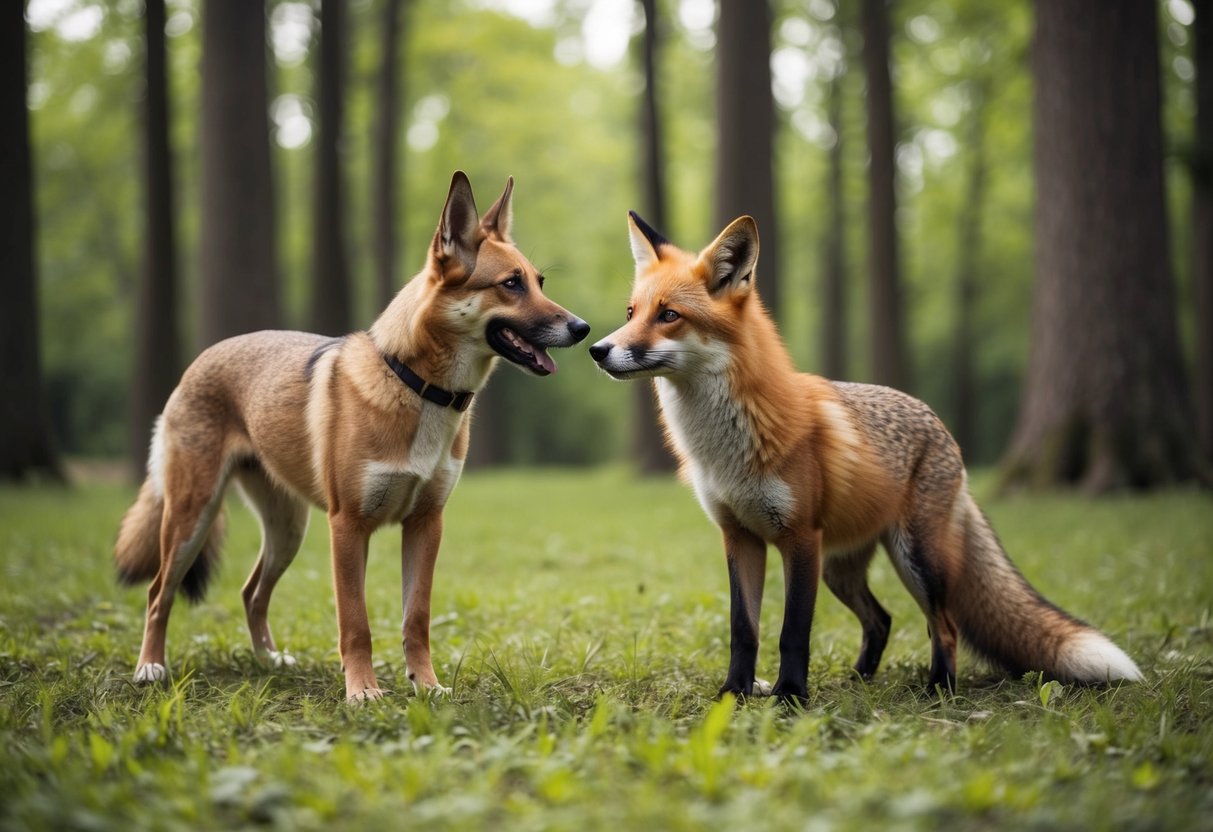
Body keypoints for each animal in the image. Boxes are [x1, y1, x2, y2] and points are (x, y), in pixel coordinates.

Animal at [115, 172, 590, 701]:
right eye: (511, 284)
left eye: (540, 282)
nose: (583, 328)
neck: (418, 386)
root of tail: (200, 360)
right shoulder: (347, 528)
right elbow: (355, 622)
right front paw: (363, 692)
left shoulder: (426, 525)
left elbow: (416, 618)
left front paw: (426, 686)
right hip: (191, 519)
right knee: (158, 592)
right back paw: (150, 667)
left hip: (287, 530)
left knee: (251, 591)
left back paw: (268, 660)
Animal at [589, 211, 1142, 703]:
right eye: (631, 314)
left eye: (669, 316)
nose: (598, 349)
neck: (725, 450)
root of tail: (939, 425)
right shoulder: (739, 536)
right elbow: (743, 629)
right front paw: (735, 694)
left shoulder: (799, 539)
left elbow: (793, 632)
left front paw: (790, 698)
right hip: (841, 569)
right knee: (882, 620)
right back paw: (859, 681)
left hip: (915, 559)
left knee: (943, 626)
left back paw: (939, 691)